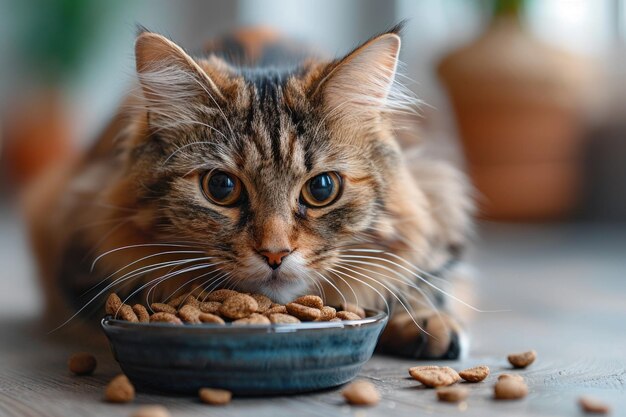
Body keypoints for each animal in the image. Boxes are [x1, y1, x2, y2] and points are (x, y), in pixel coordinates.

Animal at [24, 24, 472, 360]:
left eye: (322, 188)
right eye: (221, 187)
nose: (275, 253)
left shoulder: (437, 199)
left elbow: (425, 278)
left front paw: (427, 322)